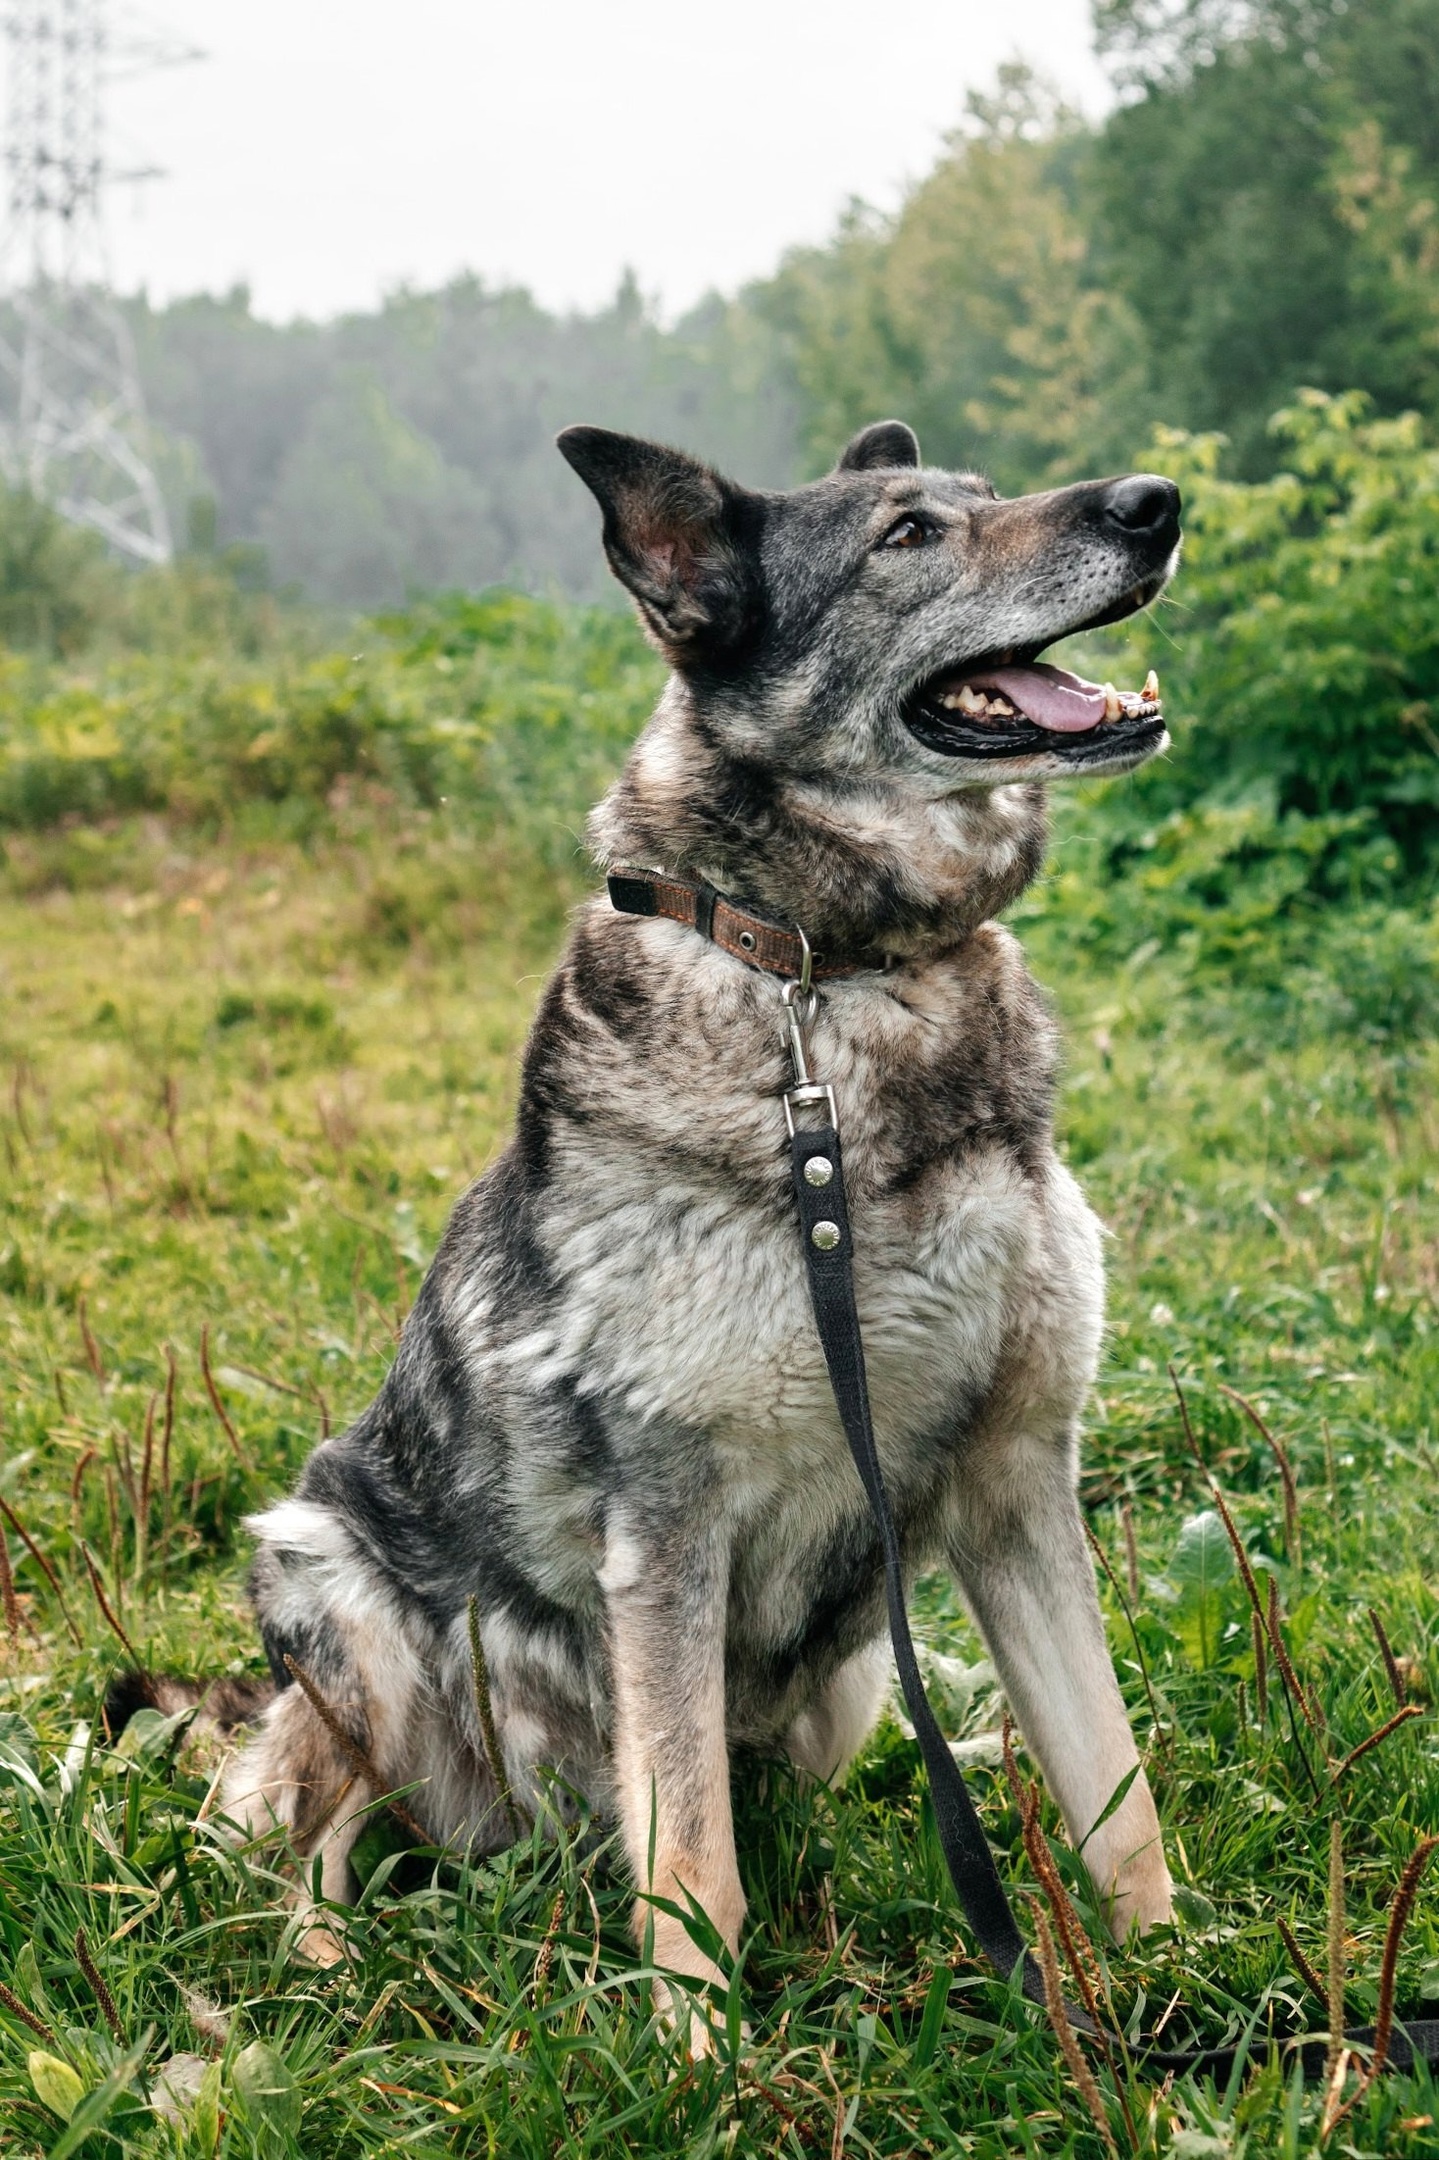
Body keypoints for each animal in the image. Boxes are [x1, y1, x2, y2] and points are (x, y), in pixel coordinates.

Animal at [115, 416, 1175, 2039]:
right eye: (907, 536)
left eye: (984, 498)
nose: (1155, 503)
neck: (829, 982)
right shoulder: (667, 1529)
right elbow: (688, 1858)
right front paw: (699, 2051)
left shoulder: (1011, 1483)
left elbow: (1114, 1796)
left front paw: (1197, 1991)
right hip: (329, 1582)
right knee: (301, 1824)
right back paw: (333, 1971)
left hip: (847, 1684)